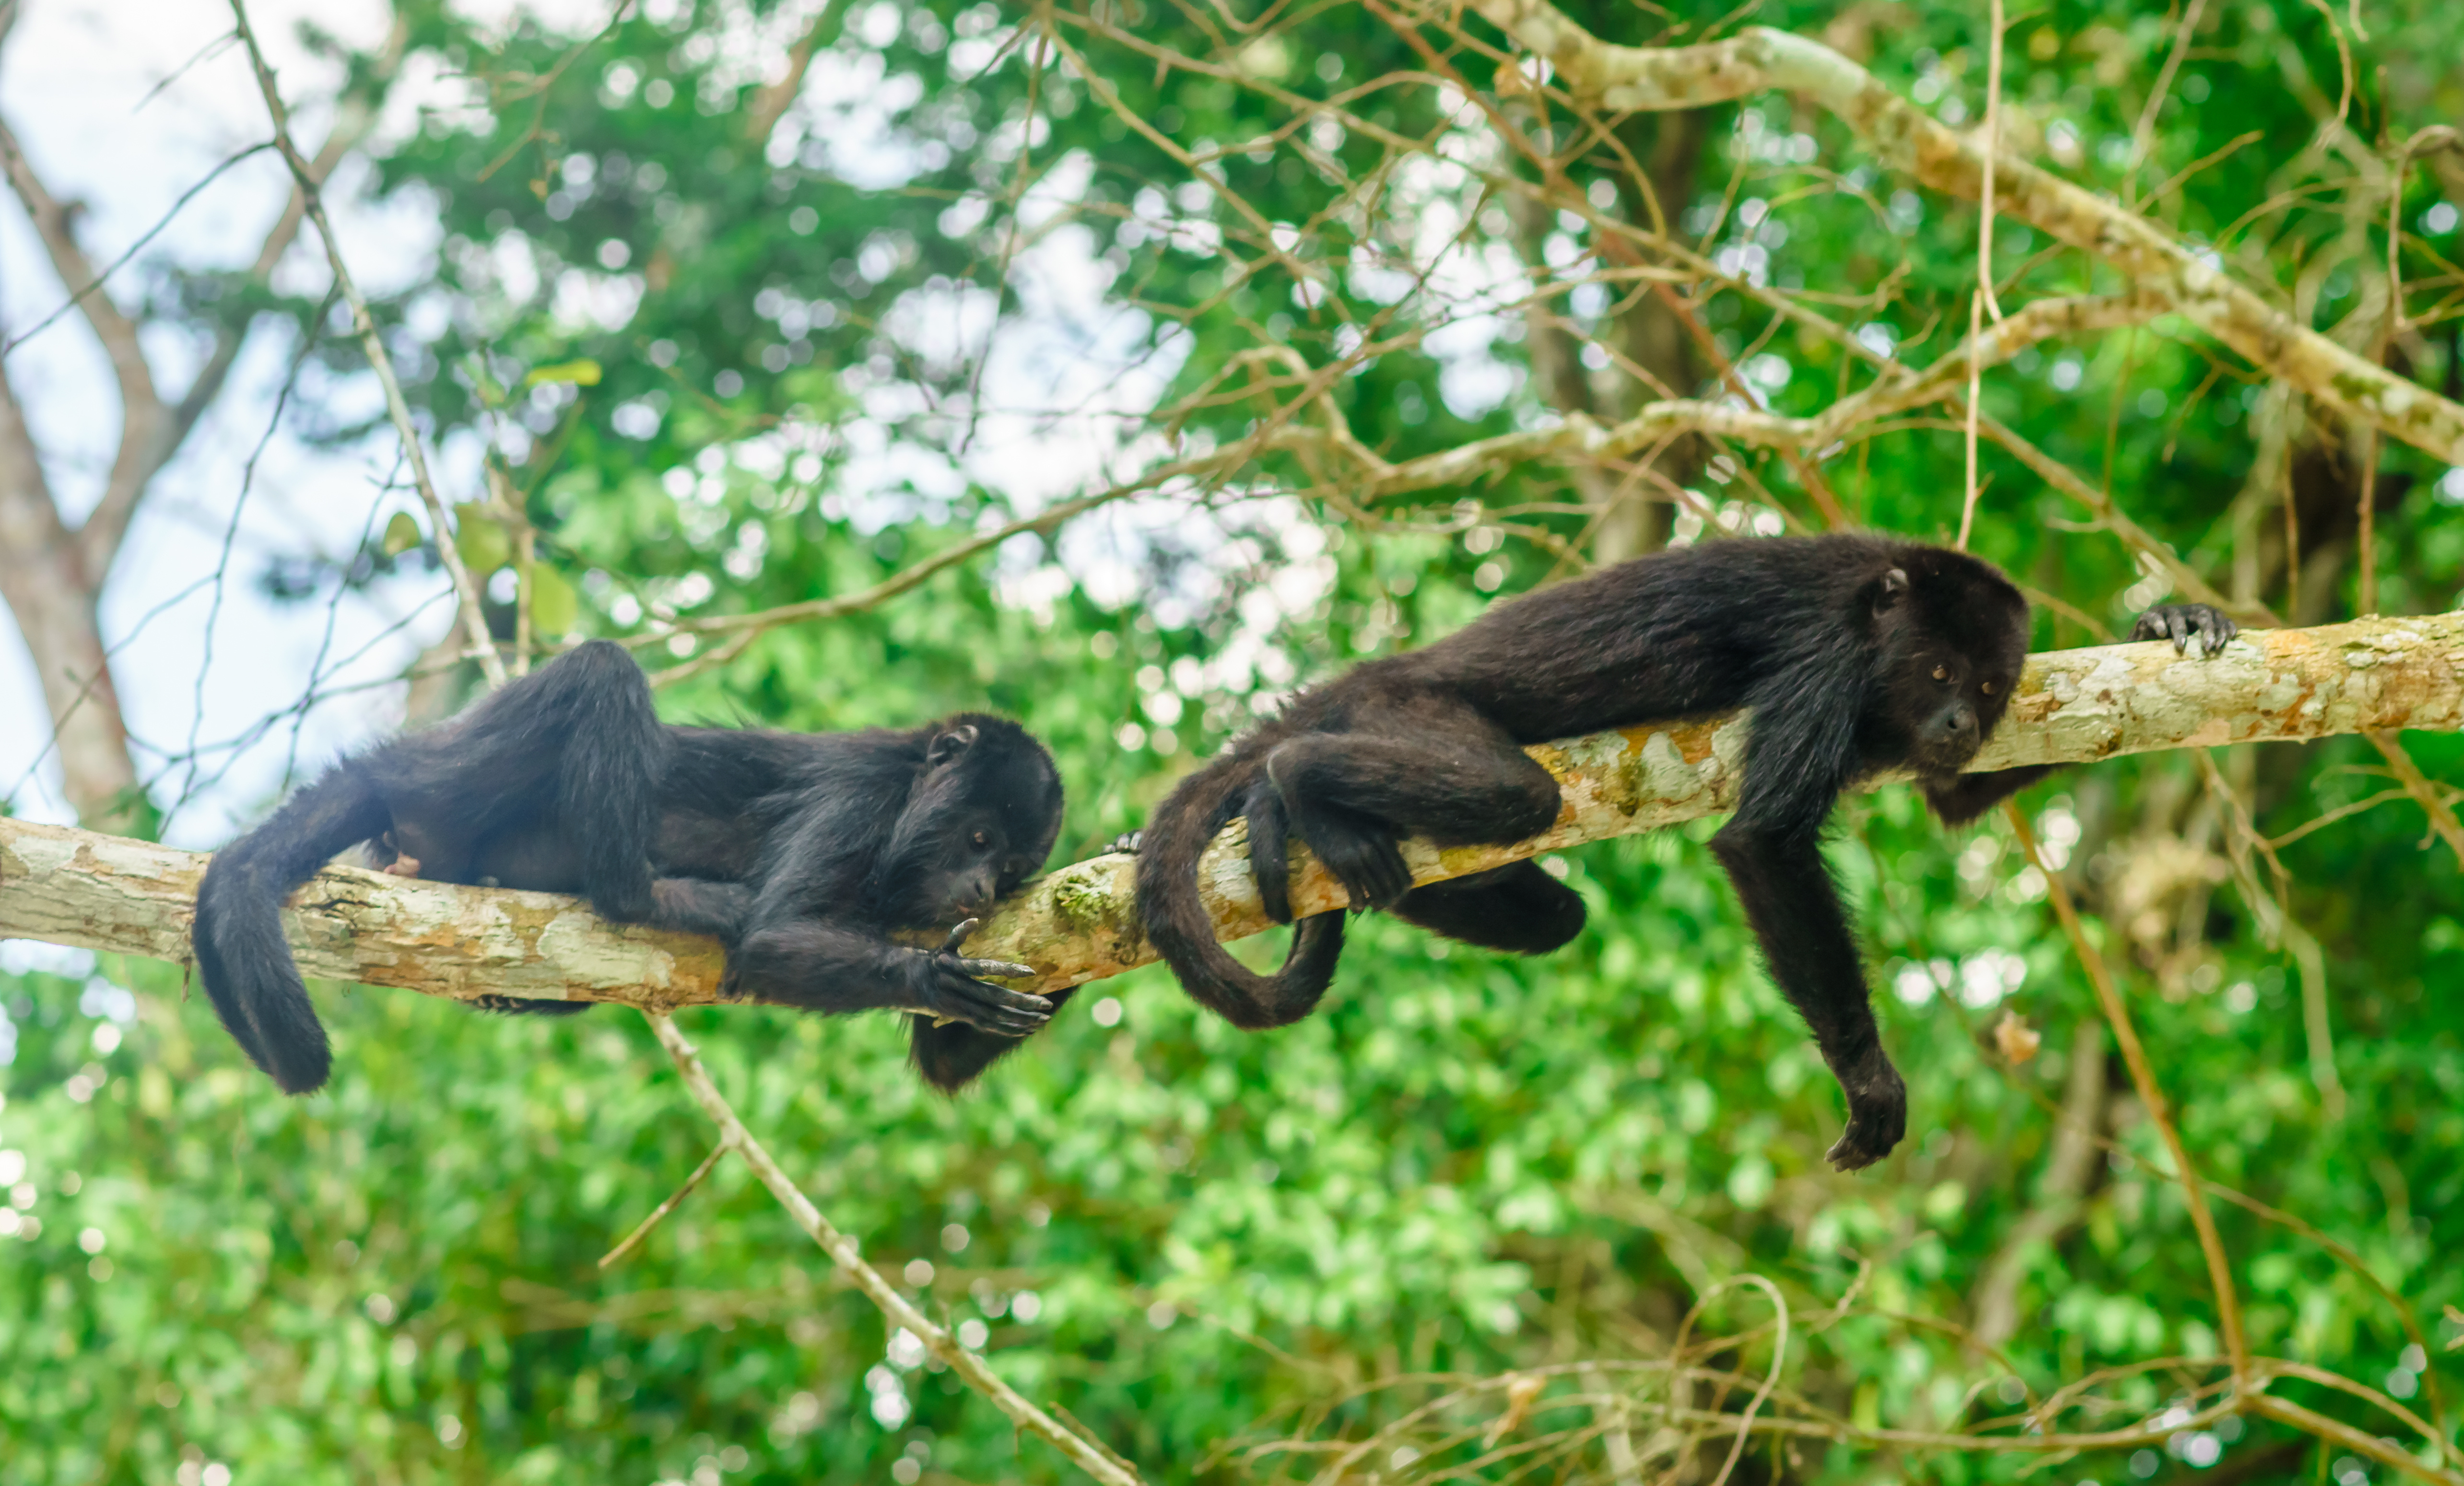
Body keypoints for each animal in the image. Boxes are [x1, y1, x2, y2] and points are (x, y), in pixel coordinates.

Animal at [194, 641, 1069, 1094]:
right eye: (980, 837)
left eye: (1014, 867)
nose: (983, 886)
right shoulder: (858, 799)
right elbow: (775, 937)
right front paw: (933, 977)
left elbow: (940, 1064)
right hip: (453, 778)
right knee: (601, 668)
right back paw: (641, 891)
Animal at [1133, 535, 2237, 1173]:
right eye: (1936, 672)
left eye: (1993, 684)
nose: (1963, 721)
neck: (1879, 609)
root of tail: (1383, 666)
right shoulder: (1828, 657)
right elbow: (1764, 841)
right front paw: (1867, 1075)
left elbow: (1949, 800)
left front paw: (2164, 617)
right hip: (1406, 706)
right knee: (1516, 794)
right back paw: (1292, 779)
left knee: (1555, 914)